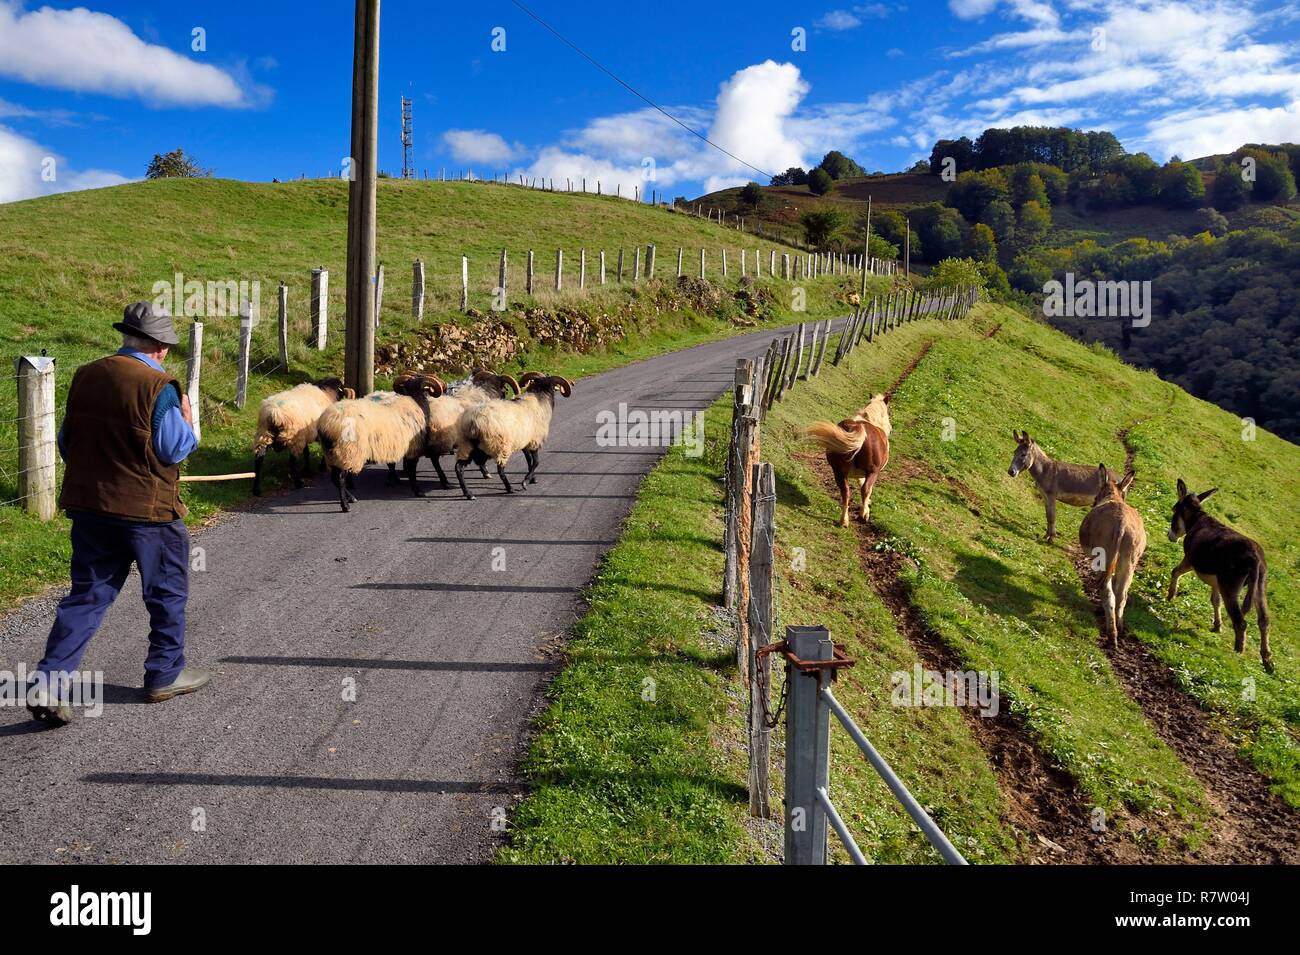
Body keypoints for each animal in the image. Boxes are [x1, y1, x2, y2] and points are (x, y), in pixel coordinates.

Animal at [314, 374, 441, 511]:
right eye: (425, 390)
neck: (415, 400)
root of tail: (327, 423)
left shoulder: (393, 446)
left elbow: (393, 465)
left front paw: (393, 480)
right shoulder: (413, 448)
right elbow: (411, 471)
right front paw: (418, 491)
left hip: (331, 453)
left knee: (334, 479)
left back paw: (351, 498)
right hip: (347, 451)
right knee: (340, 478)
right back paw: (345, 505)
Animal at [454, 369, 572, 501]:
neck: (539, 398)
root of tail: (474, 421)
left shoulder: (525, 442)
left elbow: (529, 460)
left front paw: (532, 479)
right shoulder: (535, 441)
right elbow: (536, 462)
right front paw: (525, 482)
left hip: (468, 446)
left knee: (459, 468)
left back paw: (468, 493)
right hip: (500, 446)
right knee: (500, 469)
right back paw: (509, 488)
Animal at [800, 394, 894, 530]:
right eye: (888, 412)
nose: (891, 429)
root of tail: (857, 428)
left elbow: (860, 482)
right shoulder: (871, 473)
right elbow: (867, 488)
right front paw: (866, 510)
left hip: (838, 472)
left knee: (846, 492)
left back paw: (844, 521)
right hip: (872, 471)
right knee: (865, 489)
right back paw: (862, 516)